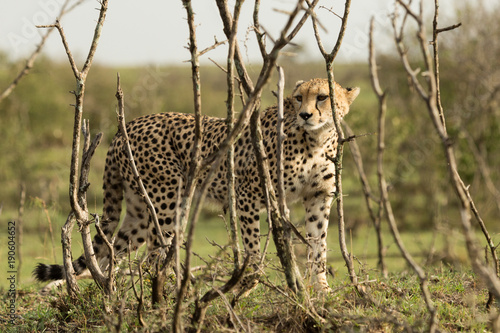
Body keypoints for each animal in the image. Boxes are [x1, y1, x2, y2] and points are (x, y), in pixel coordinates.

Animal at [33, 78, 358, 290]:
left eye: (322, 97)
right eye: (298, 97)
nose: (305, 114)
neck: (315, 138)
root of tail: (127, 127)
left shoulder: (318, 196)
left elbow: (319, 244)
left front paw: (320, 290)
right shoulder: (247, 195)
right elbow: (253, 246)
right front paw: (252, 281)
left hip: (139, 211)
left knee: (113, 252)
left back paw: (113, 293)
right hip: (166, 201)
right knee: (153, 257)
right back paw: (172, 294)